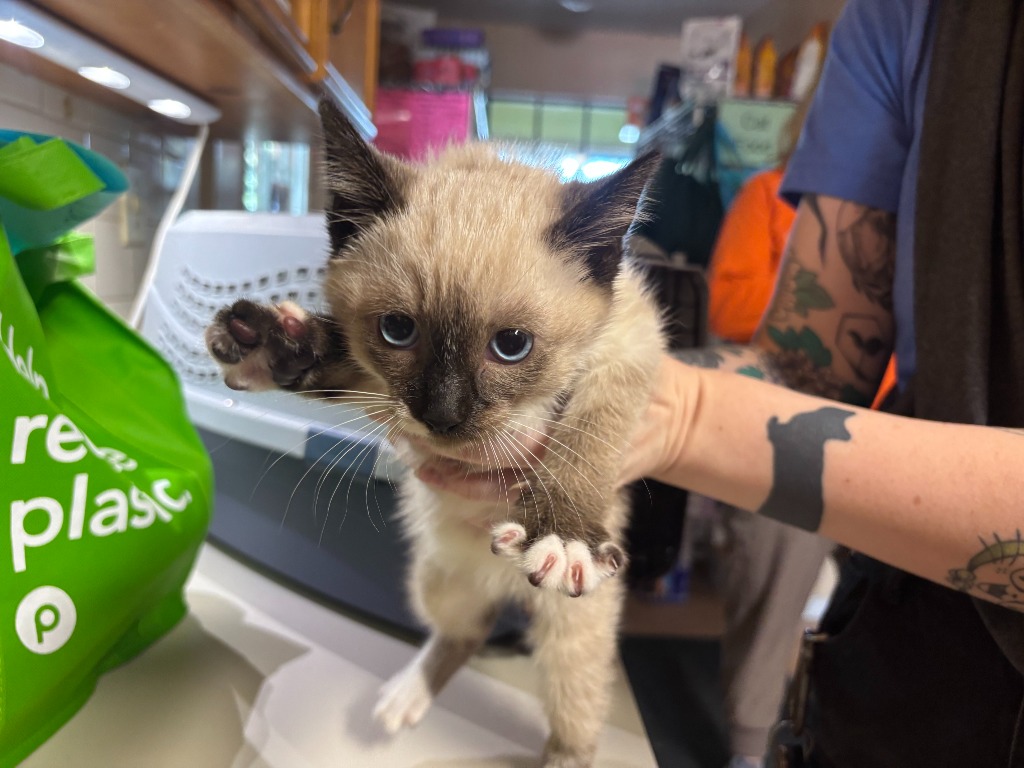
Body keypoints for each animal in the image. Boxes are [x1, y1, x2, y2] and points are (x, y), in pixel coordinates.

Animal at [205, 99, 664, 767]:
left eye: (512, 345)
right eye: (398, 331)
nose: (443, 417)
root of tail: (508, 582)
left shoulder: (629, 351)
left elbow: (587, 430)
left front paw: (561, 532)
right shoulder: (382, 387)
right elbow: (347, 367)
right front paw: (272, 345)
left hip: (574, 629)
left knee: (573, 728)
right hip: (434, 579)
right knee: (464, 634)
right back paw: (405, 699)